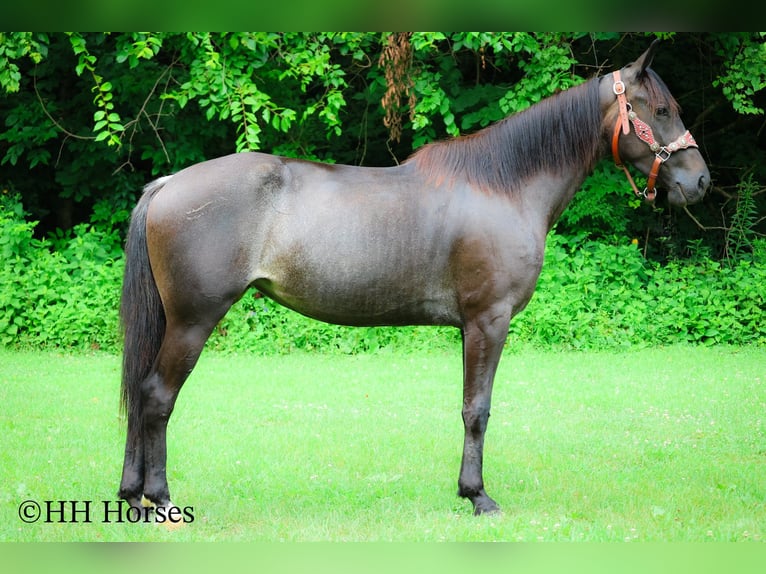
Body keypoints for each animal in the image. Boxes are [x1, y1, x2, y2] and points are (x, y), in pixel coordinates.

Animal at [118, 41, 710, 517]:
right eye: (659, 110)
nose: (700, 181)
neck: (504, 186)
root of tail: (167, 184)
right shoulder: (487, 321)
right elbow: (477, 409)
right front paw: (477, 495)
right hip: (193, 321)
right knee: (157, 397)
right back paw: (161, 499)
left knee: (140, 395)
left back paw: (132, 496)